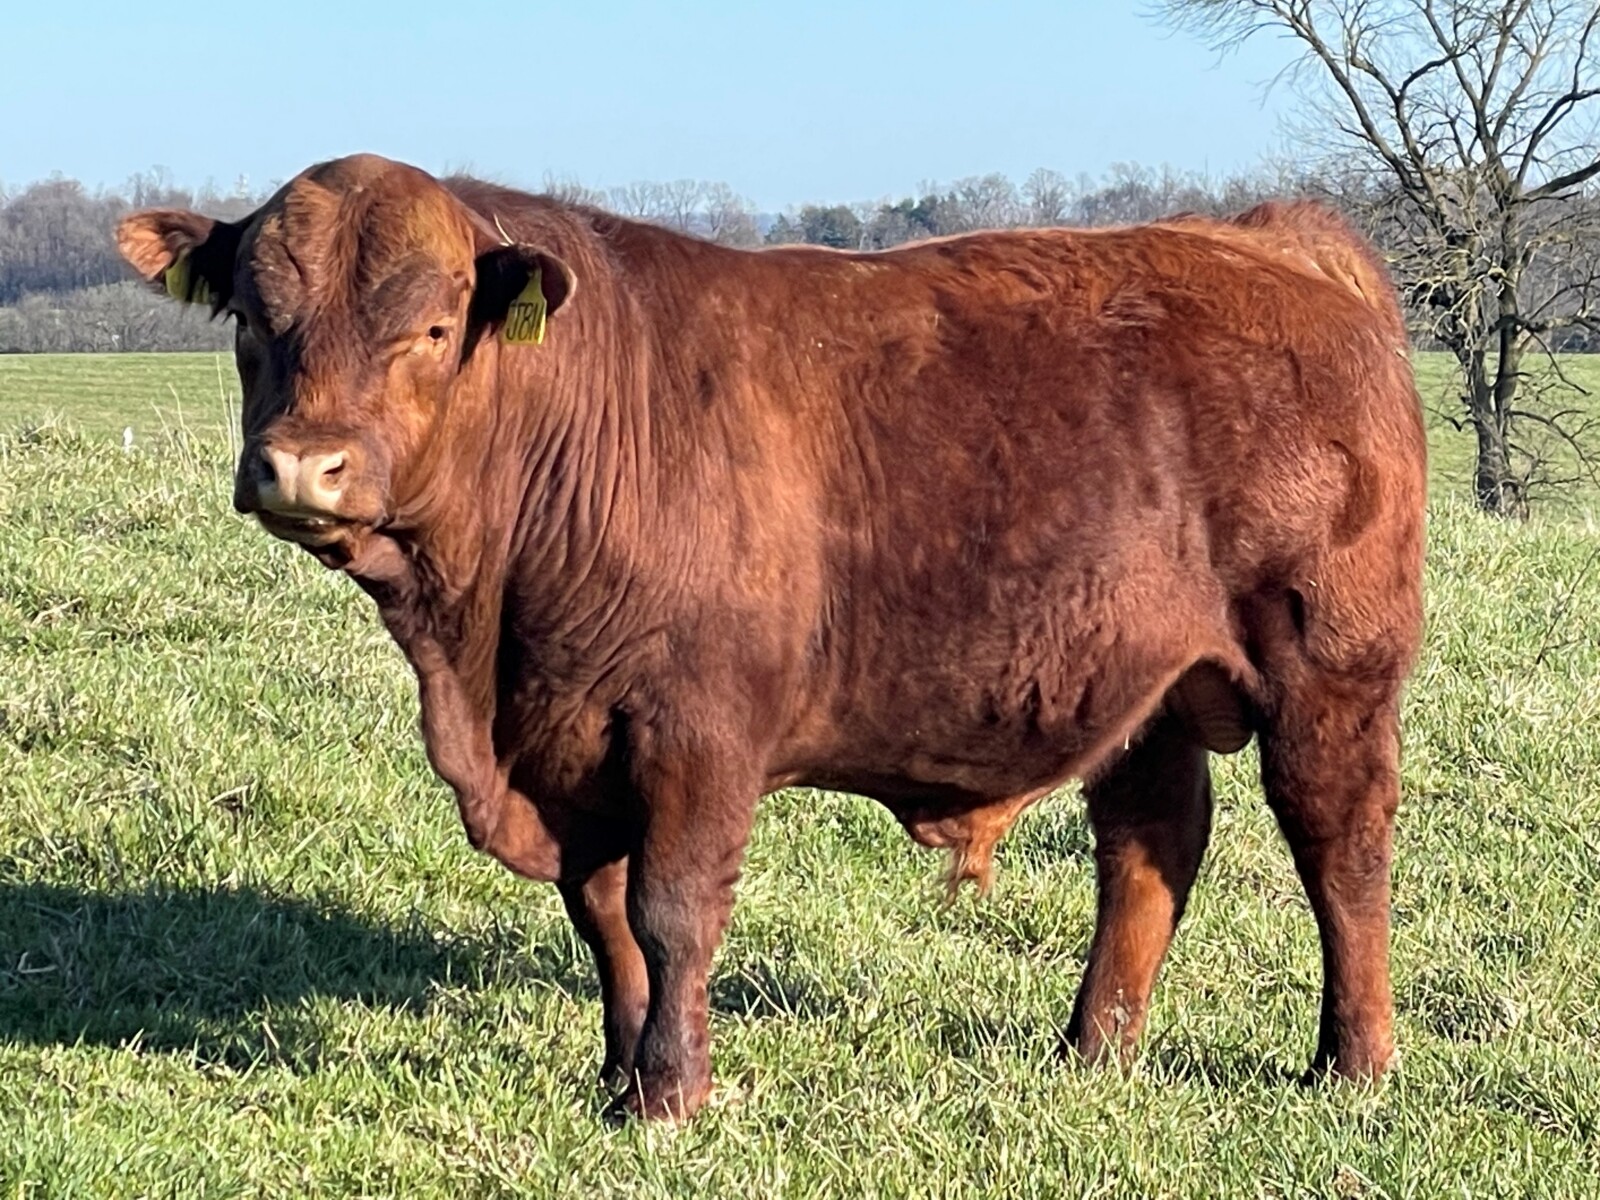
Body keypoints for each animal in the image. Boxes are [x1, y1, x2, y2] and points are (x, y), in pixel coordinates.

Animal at [116, 155, 1425, 1121]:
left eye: (433, 330)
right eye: (251, 317)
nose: (303, 466)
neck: (484, 653)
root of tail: (1266, 239)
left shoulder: (696, 734)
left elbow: (672, 909)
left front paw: (668, 1097)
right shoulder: (570, 740)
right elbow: (604, 915)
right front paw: (616, 1074)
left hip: (1330, 672)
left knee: (1340, 849)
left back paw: (1348, 1066)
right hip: (1140, 686)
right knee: (1149, 847)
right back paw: (1090, 1051)